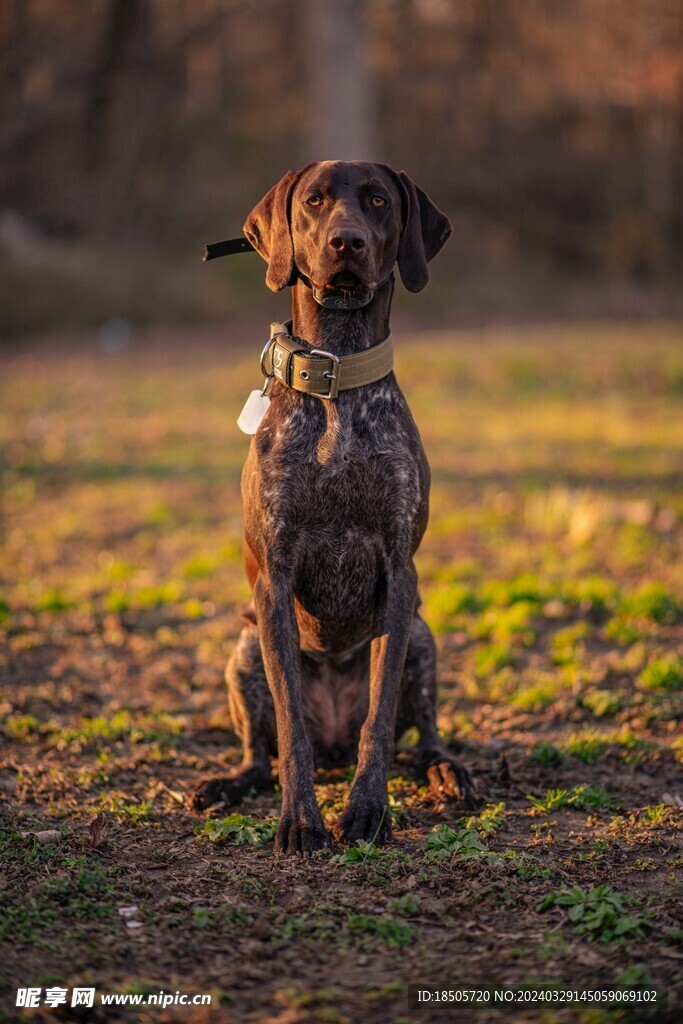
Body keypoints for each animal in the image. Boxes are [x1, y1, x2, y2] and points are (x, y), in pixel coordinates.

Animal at [191, 159, 471, 851]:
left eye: (377, 200)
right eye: (314, 201)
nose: (348, 242)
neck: (337, 373)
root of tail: (335, 741)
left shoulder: (399, 574)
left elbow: (380, 718)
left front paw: (368, 811)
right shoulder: (275, 578)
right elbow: (291, 728)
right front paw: (300, 820)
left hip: (422, 635)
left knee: (423, 736)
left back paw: (446, 771)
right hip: (244, 648)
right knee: (258, 755)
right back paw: (226, 784)